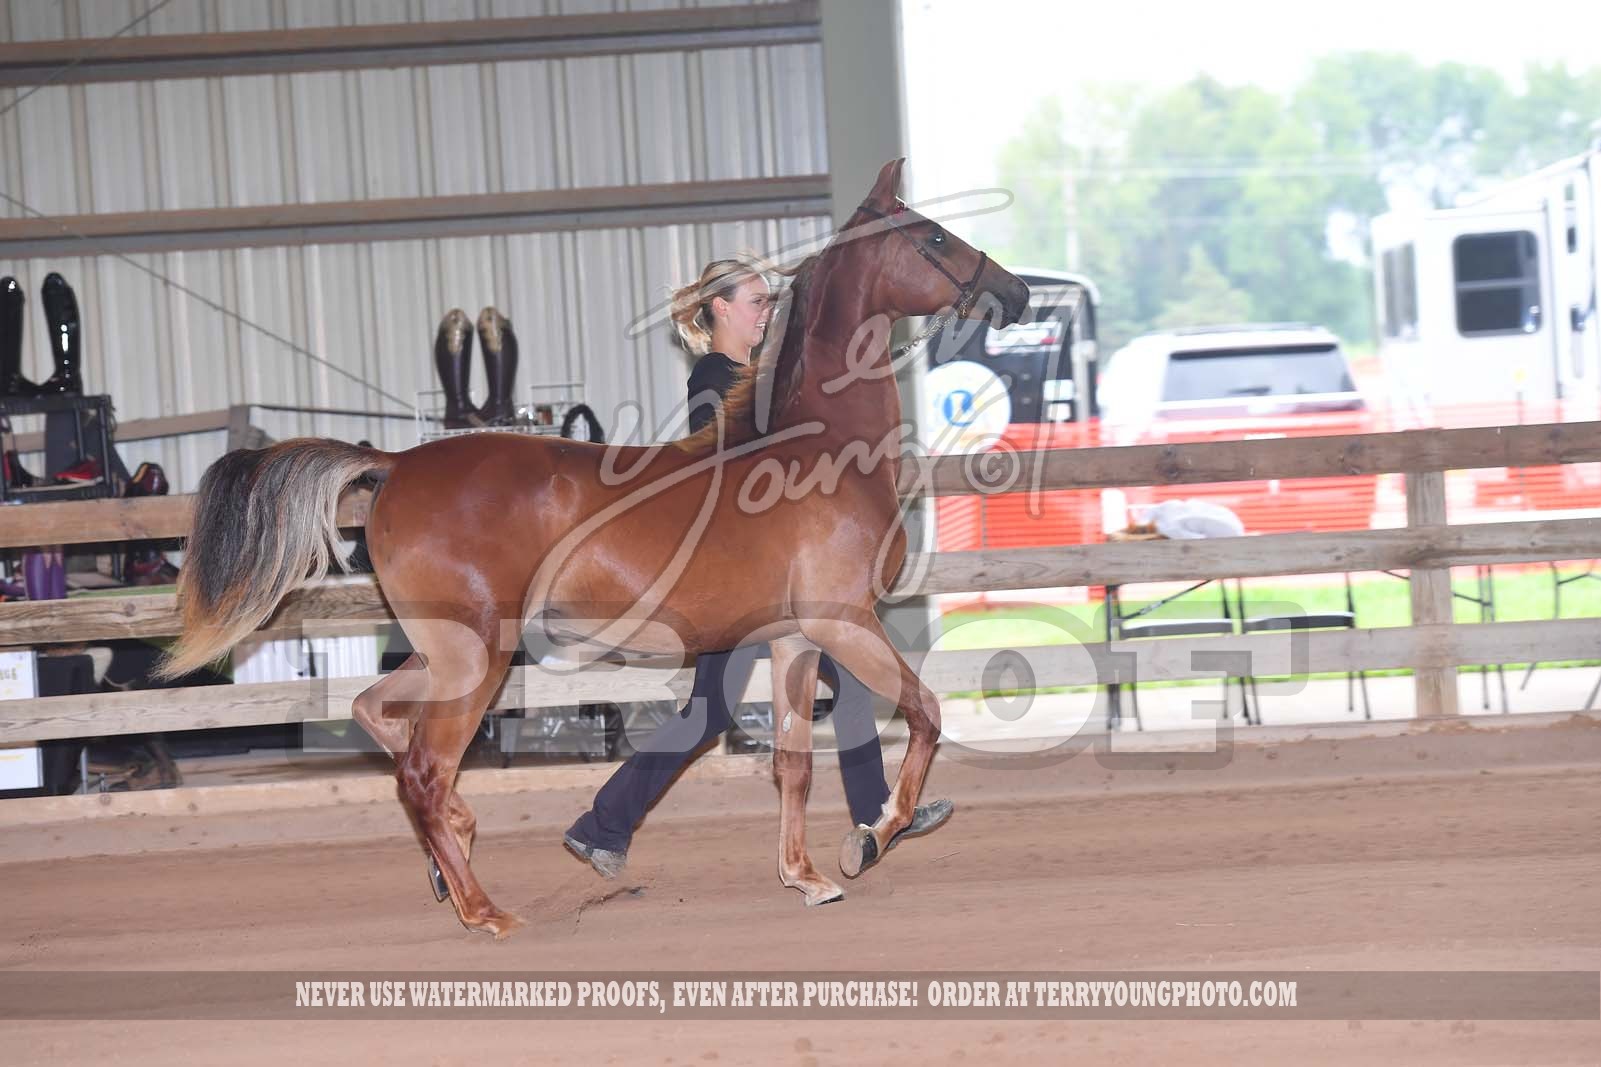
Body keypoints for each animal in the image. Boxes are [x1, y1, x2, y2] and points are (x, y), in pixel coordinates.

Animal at [160, 159, 1030, 938]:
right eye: (932, 235)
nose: (1015, 290)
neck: (816, 450)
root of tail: (399, 462)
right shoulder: (843, 622)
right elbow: (924, 713)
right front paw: (873, 836)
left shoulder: (792, 640)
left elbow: (794, 763)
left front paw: (807, 876)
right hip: (477, 655)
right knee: (422, 768)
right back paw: (484, 910)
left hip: (447, 649)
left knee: (380, 717)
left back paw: (455, 855)